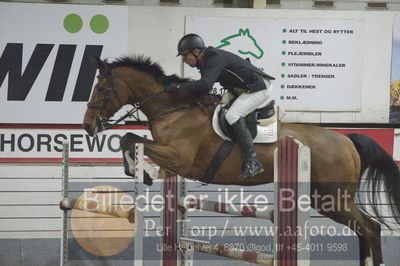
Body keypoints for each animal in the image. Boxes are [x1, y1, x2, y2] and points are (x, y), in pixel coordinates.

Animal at [83, 55, 400, 264]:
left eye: (101, 89)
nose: (87, 126)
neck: (175, 110)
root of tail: (346, 139)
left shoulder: (180, 158)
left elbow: (132, 139)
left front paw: (141, 171)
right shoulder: (173, 161)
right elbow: (130, 139)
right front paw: (140, 170)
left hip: (332, 198)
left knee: (371, 228)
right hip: (326, 198)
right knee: (364, 230)